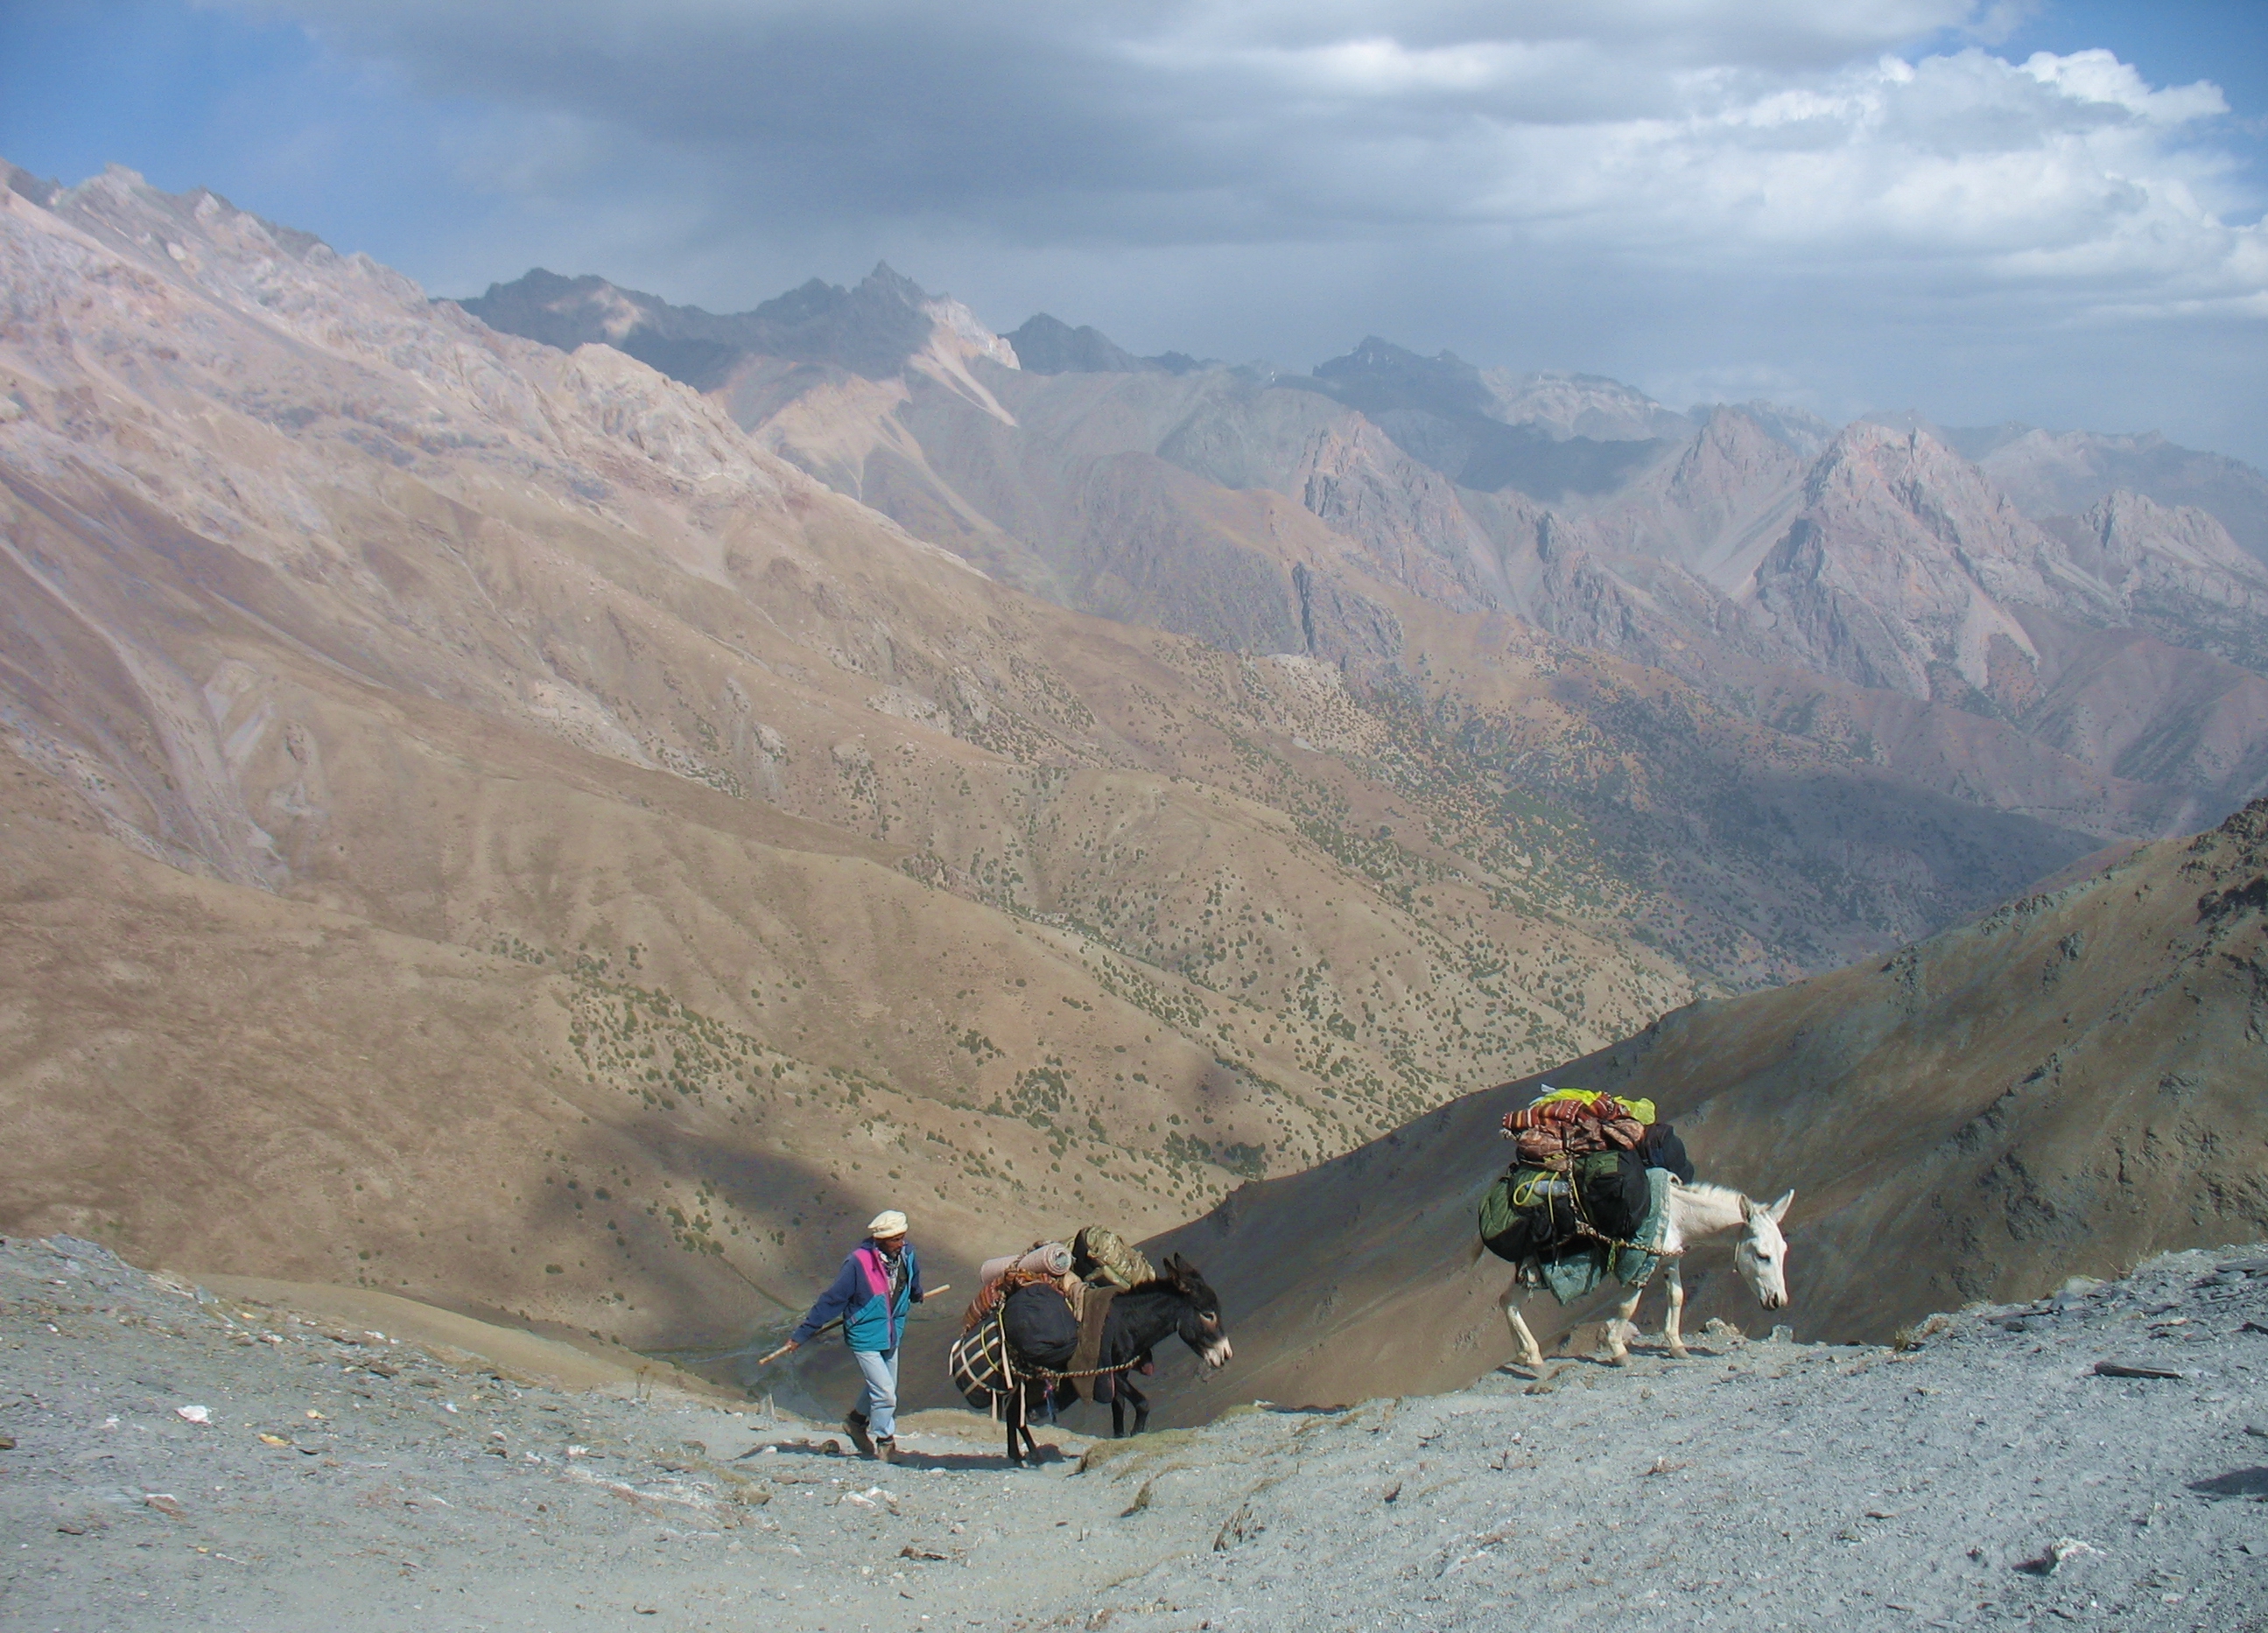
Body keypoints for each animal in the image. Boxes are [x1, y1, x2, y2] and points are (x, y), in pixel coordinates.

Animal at [1497, 1180, 1792, 1371]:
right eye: (1762, 1255)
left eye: (1784, 1251)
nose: (1778, 1301)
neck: (1677, 1214)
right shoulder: (1640, 1263)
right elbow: (1628, 1306)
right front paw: (1618, 1351)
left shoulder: (1670, 1259)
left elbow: (1677, 1296)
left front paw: (1676, 1346)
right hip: (1534, 1270)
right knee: (1509, 1302)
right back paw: (1533, 1356)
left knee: (1507, 1302)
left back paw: (1523, 1355)